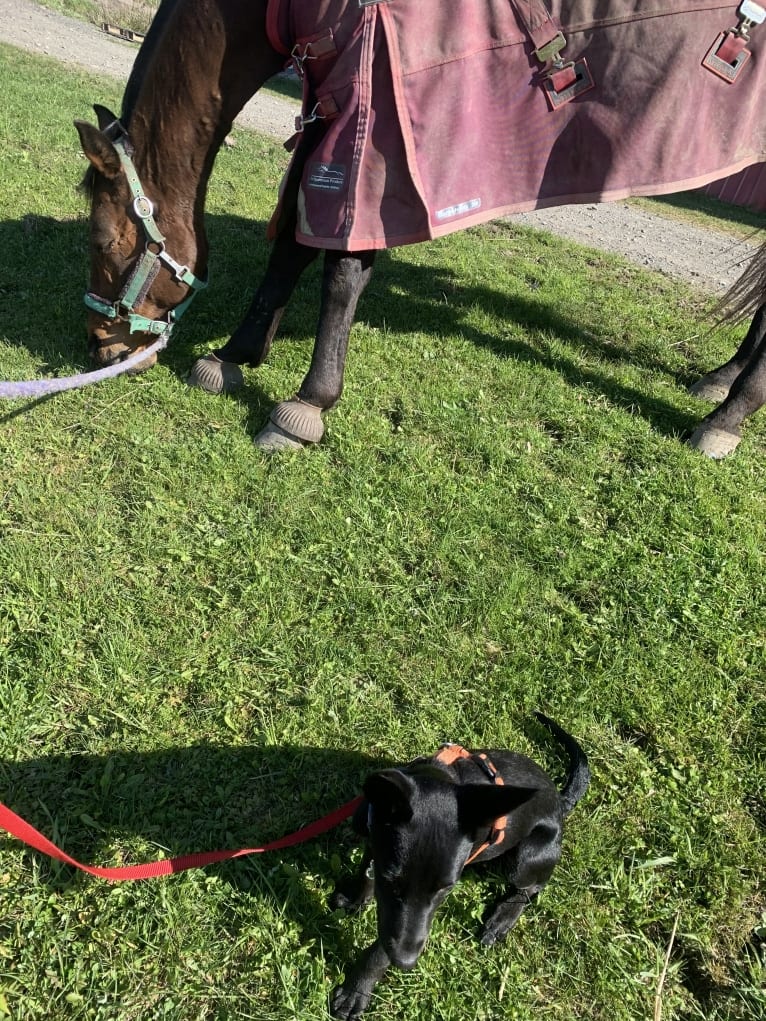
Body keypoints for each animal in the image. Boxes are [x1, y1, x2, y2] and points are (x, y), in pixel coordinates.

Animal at [76, 0, 766, 457]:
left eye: (104, 241)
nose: (99, 349)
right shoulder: (331, 101)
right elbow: (293, 244)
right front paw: (234, 356)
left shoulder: (372, 125)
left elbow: (342, 268)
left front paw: (307, 404)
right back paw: (720, 381)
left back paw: (726, 419)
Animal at [328, 714, 588, 1016]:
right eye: (391, 879)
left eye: (445, 889)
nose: (405, 962)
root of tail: (560, 801)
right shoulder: (373, 839)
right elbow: (366, 872)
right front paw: (355, 899)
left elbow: (382, 946)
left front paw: (357, 989)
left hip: (527, 857)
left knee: (532, 887)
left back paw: (501, 919)